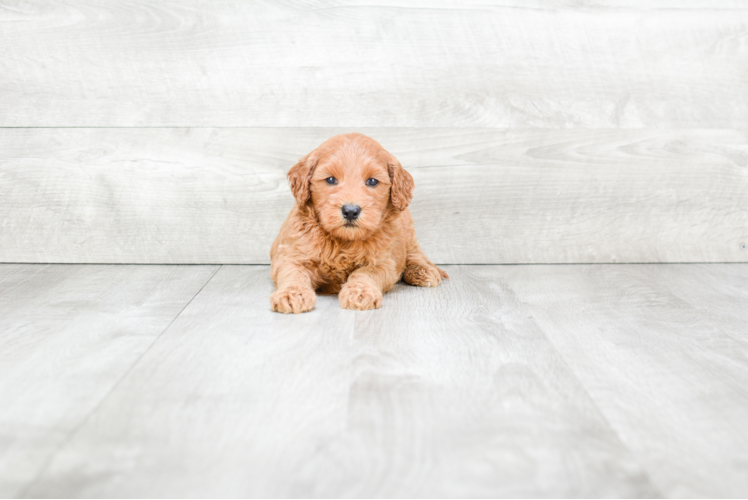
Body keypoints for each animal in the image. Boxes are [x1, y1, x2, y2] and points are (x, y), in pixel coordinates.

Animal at [270, 133, 448, 312]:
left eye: (372, 181)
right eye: (331, 179)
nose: (350, 211)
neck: (343, 241)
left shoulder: (382, 263)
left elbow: (364, 273)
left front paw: (361, 292)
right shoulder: (291, 256)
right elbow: (294, 273)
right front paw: (292, 293)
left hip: (408, 232)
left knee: (415, 254)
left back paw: (422, 271)